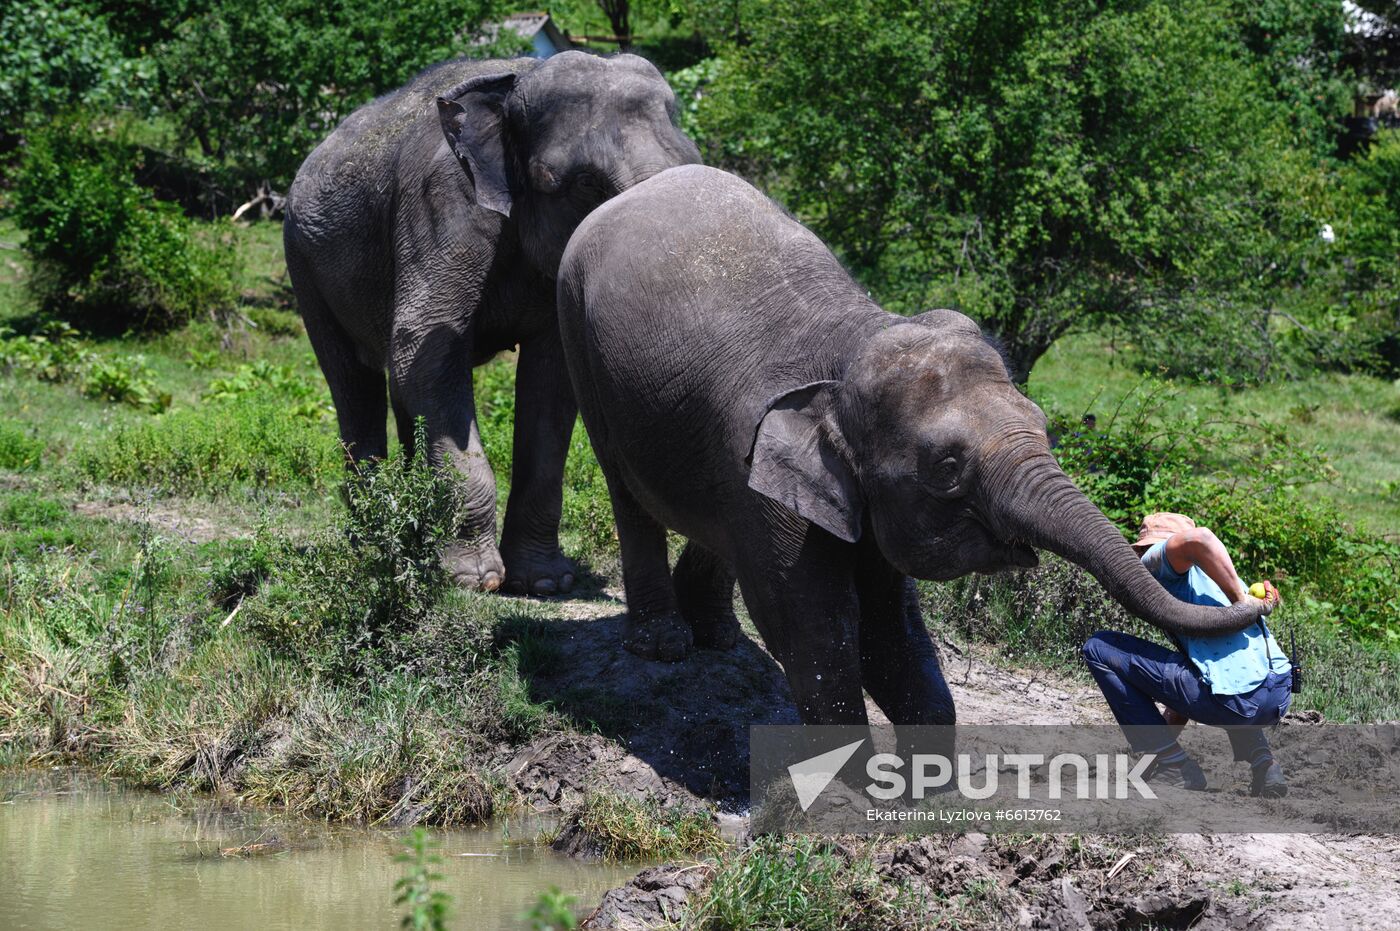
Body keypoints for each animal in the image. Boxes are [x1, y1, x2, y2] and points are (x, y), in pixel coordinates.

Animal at [284, 54, 700, 596]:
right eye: (586, 184)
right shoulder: (439, 198)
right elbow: (424, 345)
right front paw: (472, 581)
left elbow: (550, 378)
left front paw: (545, 583)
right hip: (303, 261)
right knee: (354, 383)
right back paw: (373, 544)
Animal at [554, 167, 1271, 728]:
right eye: (947, 467)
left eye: (1043, 426)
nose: (1260, 595)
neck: (855, 338)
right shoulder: (777, 484)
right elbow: (812, 619)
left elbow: (891, 623)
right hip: (577, 333)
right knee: (628, 493)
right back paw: (664, 645)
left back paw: (720, 640)